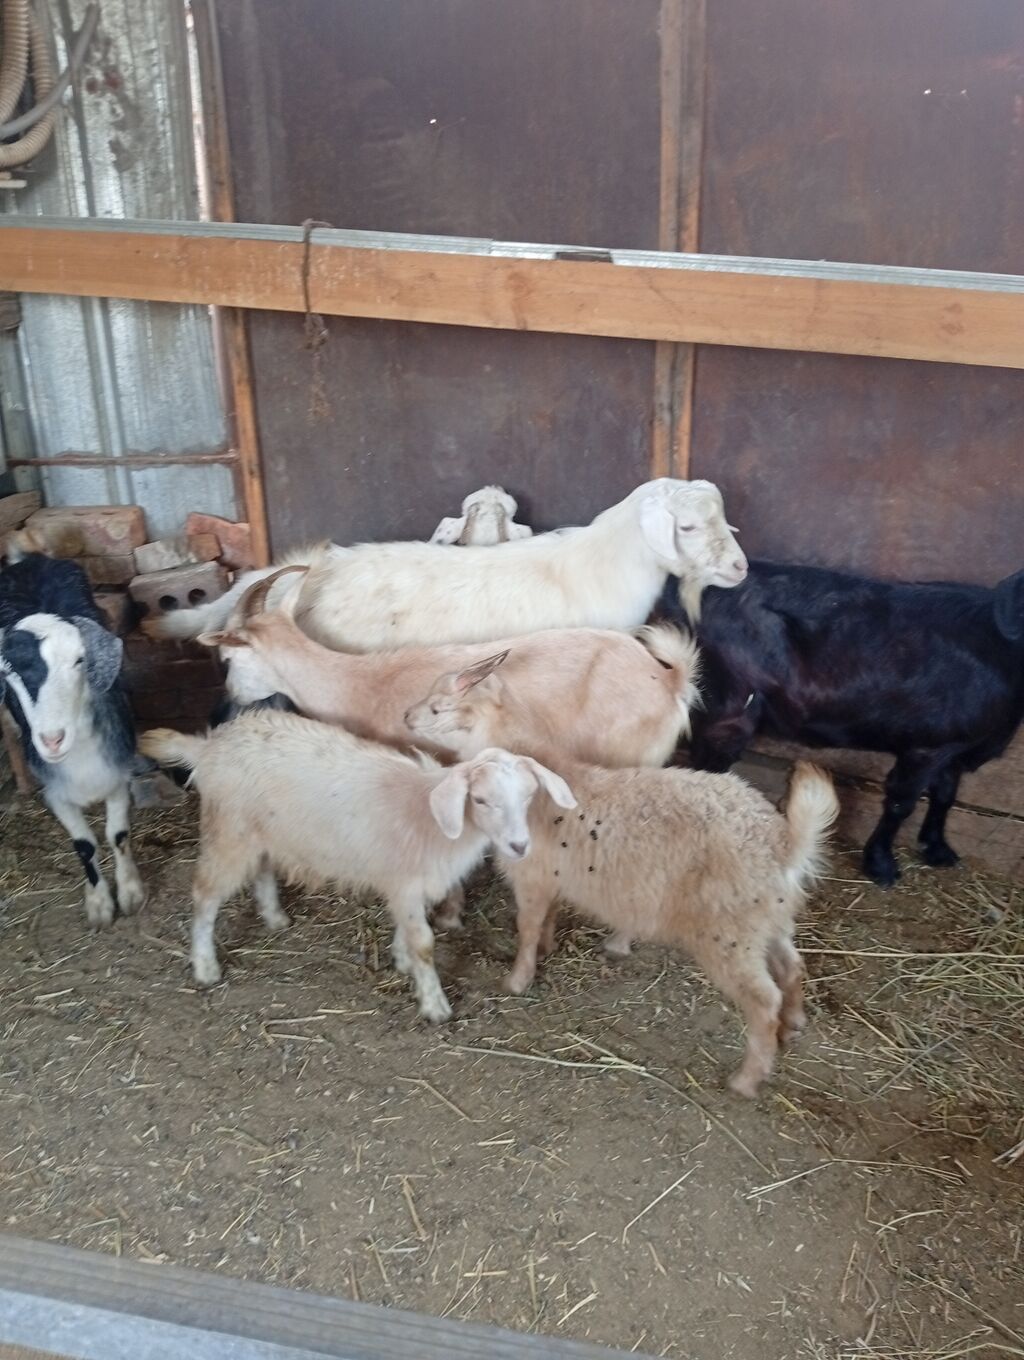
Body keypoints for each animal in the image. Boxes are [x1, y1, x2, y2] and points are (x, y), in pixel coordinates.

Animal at [0, 554, 144, 925]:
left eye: (80, 660)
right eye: (9, 672)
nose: (52, 740)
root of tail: (27, 560)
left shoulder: (117, 776)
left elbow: (117, 835)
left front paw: (130, 892)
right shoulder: (55, 793)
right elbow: (84, 845)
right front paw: (99, 903)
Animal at [140, 713, 574, 1020]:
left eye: (529, 795)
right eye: (481, 800)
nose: (519, 846)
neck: (434, 819)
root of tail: (208, 747)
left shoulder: (407, 884)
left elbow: (408, 931)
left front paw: (401, 961)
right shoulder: (405, 881)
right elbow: (424, 943)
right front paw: (434, 1005)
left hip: (262, 832)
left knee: (261, 870)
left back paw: (274, 917)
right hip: (229, 831)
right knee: (205, 893)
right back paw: (205, 966)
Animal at [498, 759, 838, 1097]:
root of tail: (785, 845)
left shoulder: (531, 878)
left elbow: (528, 926)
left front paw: (517, 979)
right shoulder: (550, 879)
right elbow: (547, 916)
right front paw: (546, 948)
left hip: (730, 935)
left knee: (764, 1000)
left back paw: (746, 1079)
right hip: (768, 922)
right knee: (791, 966)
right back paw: (792, 1025)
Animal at [658, 561, 1024, 886]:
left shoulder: (955, 746)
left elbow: (945, 795)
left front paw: (938, 849)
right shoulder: (924, 748)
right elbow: (901, 803)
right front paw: (881, 865)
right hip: (728, 707)